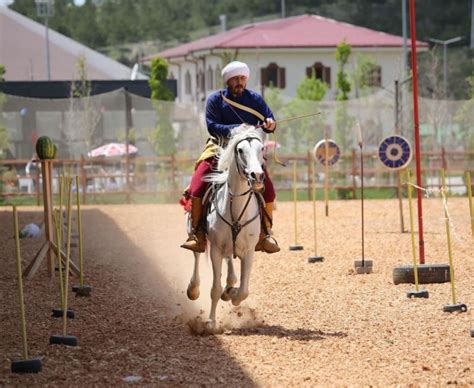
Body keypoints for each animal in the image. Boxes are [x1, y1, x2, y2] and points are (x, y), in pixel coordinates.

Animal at [186, 125, 266, 330]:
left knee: (229, 261)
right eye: (240, 150)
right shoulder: (215, 249)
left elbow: (244, 290)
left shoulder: (249, 251)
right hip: (195, 234)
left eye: (261, 149)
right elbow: (215, 288)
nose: (257, 175)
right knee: (196, 254)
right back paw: (193, 288)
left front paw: (233, 294)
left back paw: (230, 285)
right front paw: (211, 323)